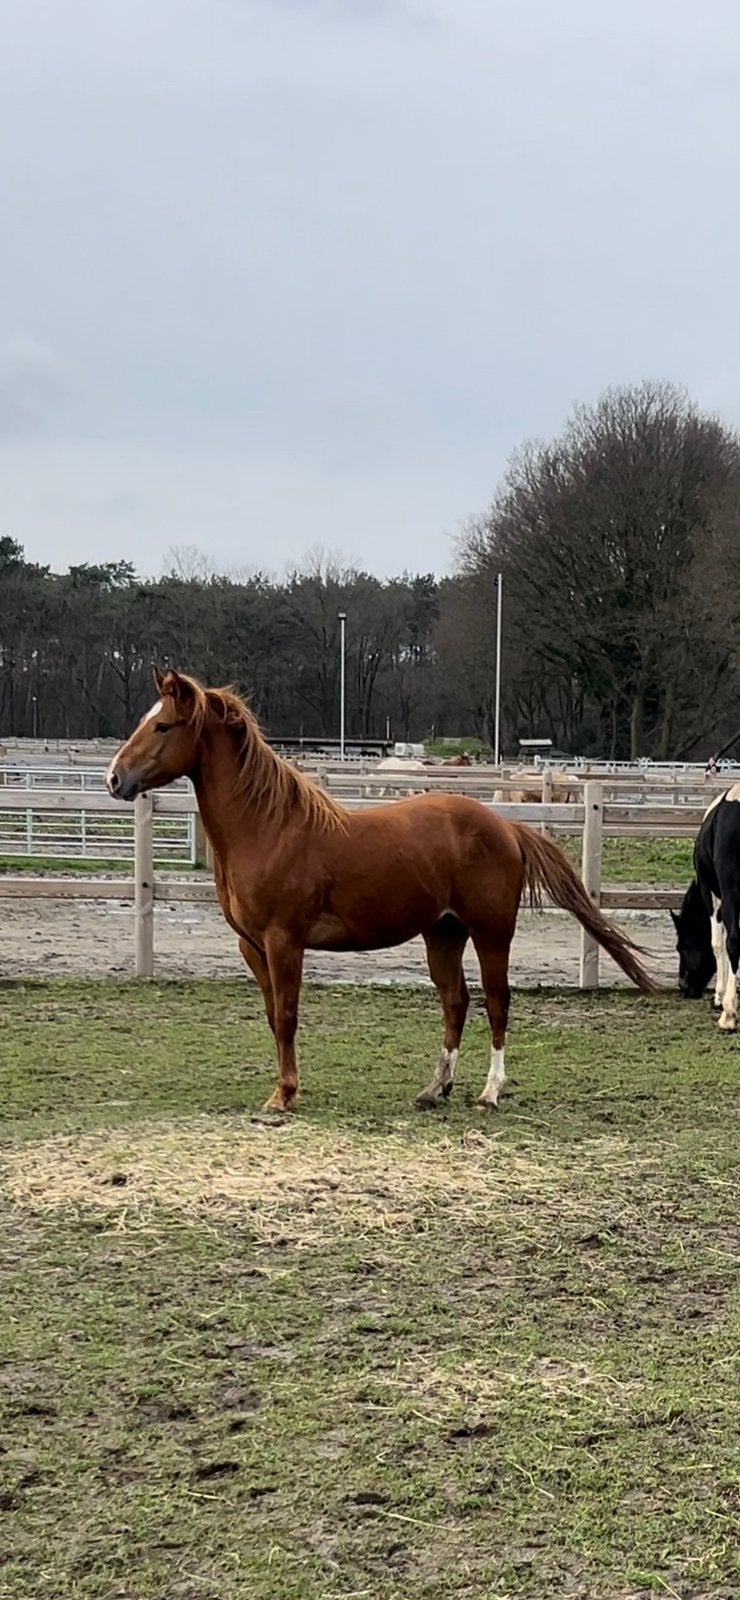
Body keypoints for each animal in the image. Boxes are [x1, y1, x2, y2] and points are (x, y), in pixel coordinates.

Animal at [107, 669, 658, 1115]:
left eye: (163, 725)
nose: (115, 778)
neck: (268, 827)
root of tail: (505, 826)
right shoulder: (252, 946)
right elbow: (271, 1016)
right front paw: (283, 1087)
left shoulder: (285, 942)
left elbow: (286, 1015)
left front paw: (284, 1096)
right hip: (444, 934)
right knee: (455, 1002)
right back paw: (436, 1089)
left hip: (491, 933)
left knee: (497, 1001)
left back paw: (489, 1093)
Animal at [672, 785, 740, 1028]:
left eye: (681, 947)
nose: (683, 986)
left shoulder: (712, 894)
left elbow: (718, 944)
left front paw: (720, 997)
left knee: (733, 941)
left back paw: (728, 1016)